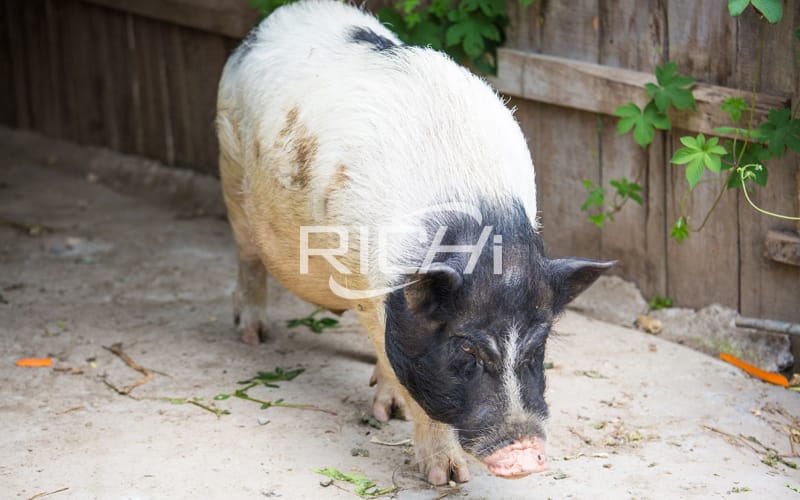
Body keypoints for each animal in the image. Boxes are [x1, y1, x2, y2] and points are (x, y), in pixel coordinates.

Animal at [214, 0, 612, 484]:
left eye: (539, 348)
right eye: (466, 347)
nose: (524, 455)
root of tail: (281, 18)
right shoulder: (370, 288)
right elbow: (406, 370)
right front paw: (445, 476)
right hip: (231, 169)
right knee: (248, 256)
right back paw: (254, 335)